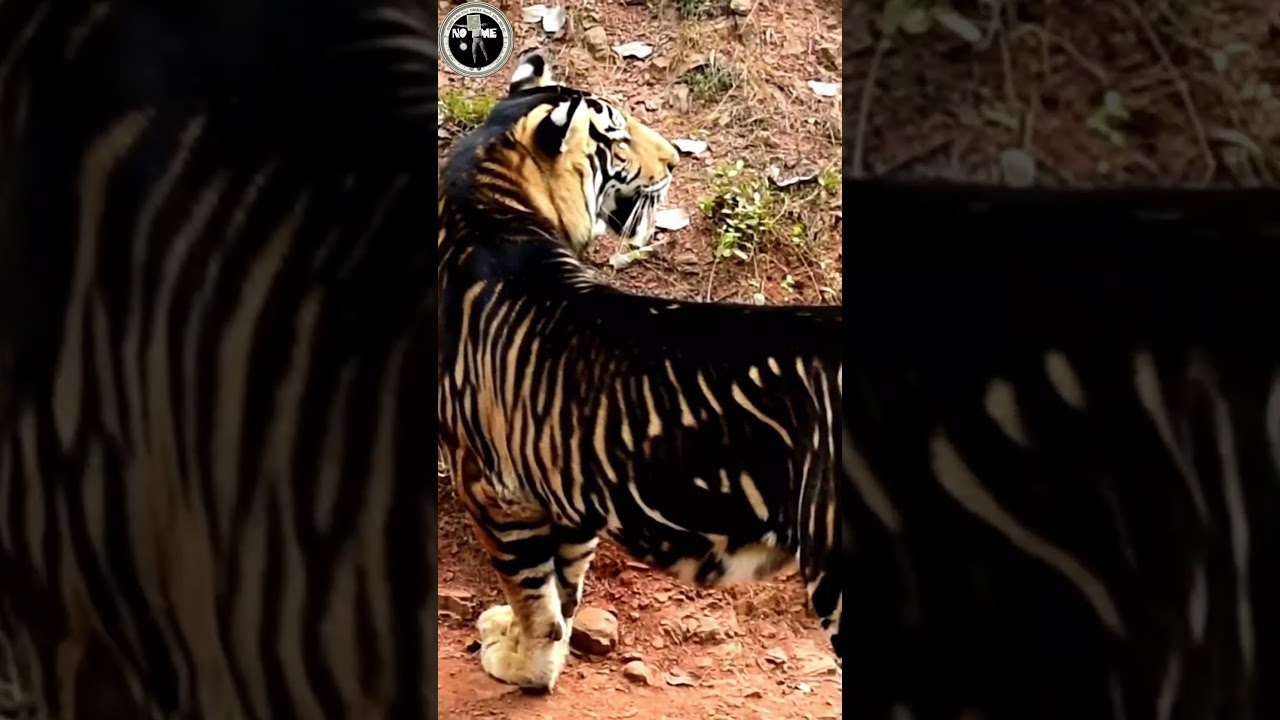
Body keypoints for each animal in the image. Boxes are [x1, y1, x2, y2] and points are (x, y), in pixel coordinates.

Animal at [437, 52, 843, 693]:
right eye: (619, 135)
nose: (676, 158)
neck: (488, 202)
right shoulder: (566, 487)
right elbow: (561, 590)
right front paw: (541, 654)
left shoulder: (491, 489)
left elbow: (533, 595)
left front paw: (522, 665)